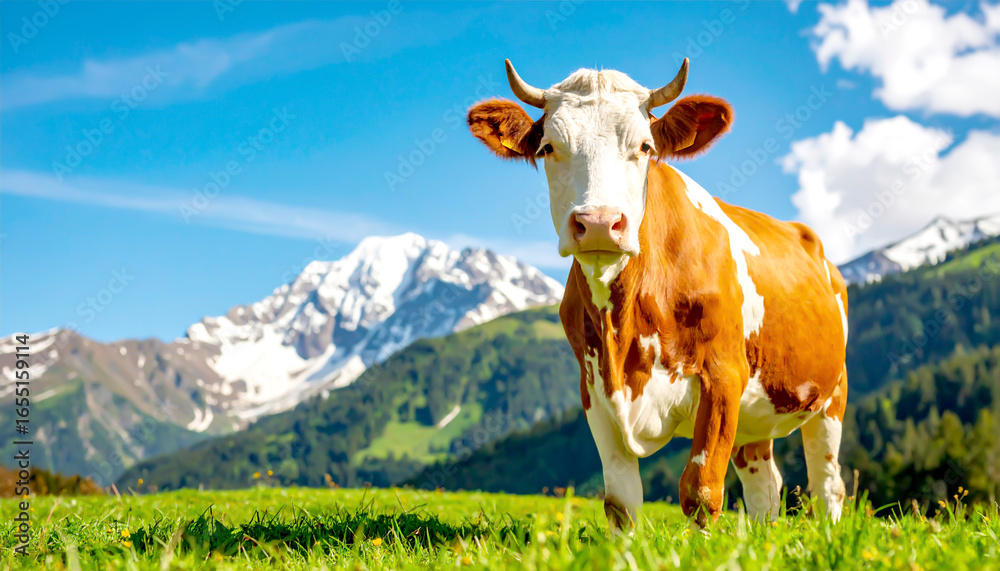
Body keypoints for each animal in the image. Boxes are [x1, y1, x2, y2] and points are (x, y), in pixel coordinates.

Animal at [467, 59, 849, 532]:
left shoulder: (724, 374)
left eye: (645, 146)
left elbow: (701, 490)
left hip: (832, 395)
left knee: (828, 482)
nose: (599, 222)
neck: (623, 325)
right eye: (548, 147)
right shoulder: (593, 389)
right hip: (756, 419)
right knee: (765, 487)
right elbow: (621, 502)